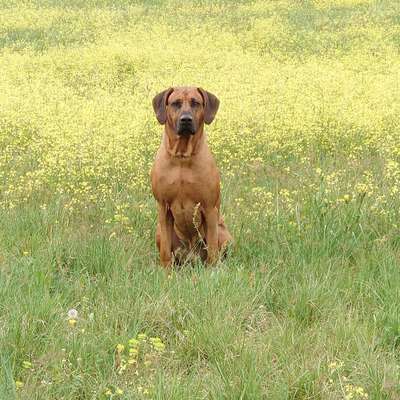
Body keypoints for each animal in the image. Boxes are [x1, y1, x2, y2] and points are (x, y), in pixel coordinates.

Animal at [150, 87, 231, 268]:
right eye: (176, 103)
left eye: (195, 103)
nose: (186, 120)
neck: (182, 157)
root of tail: (191, 257)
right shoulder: (163, 207)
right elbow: (165, 251)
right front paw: (165, 272)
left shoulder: (209, 208)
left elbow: (212, 249)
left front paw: (213, 270)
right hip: (159, 230)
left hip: (224, 232)